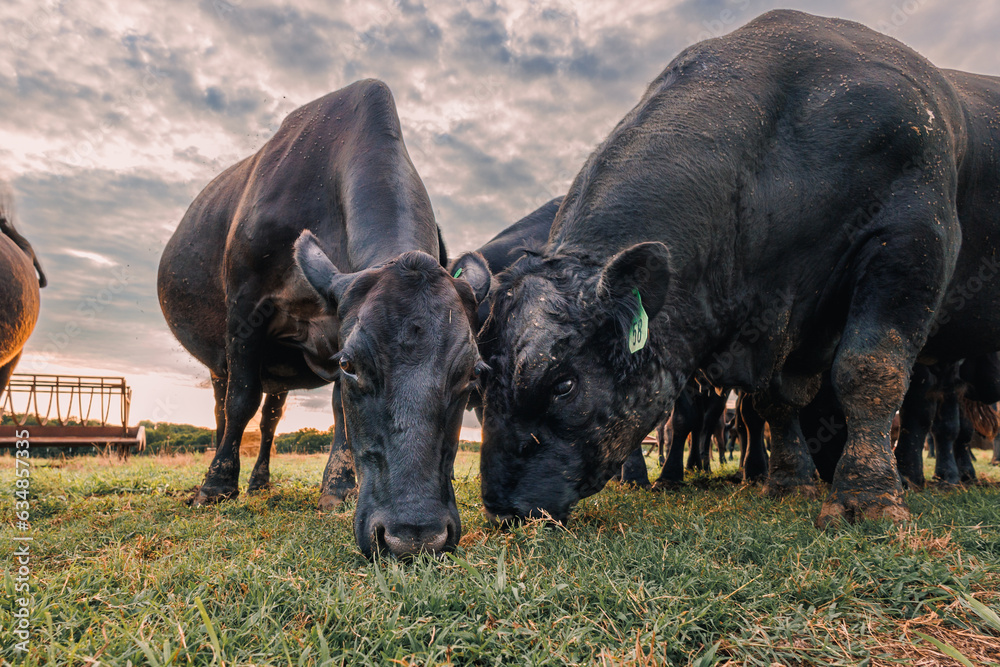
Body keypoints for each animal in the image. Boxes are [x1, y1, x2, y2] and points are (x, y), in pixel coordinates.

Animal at [156, 79, 492, 560]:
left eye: (473, 373)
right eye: (352, 365)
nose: (415, 536)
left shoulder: (336, 326)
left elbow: (336, 412)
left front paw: (336, 488)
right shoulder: (244, 309)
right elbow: (241, 400)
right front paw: (216, 487)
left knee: (270, 419)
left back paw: (260, 482)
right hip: (219, 358)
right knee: (225, 408)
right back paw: (223, 469)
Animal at [472, 10, 1000, 528]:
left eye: (564, 384)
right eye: (481, 381)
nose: (501, 506)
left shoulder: (913, 239)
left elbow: (869, 370)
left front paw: (867, 498)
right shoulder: (778, 317)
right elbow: (772, 400)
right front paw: (789, 482)